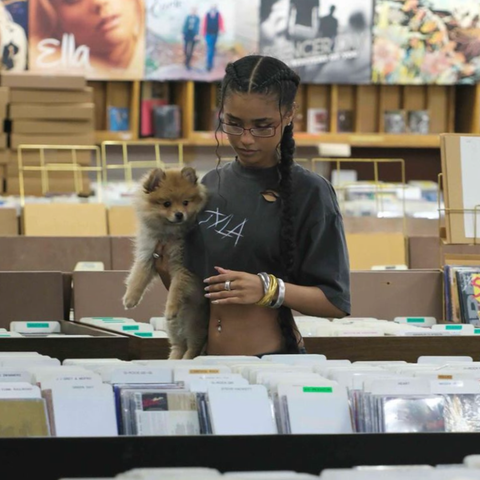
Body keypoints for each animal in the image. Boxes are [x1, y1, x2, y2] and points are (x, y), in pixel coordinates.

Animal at [124, 167, 208, 358]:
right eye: (167, 204)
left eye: (185, 202)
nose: (179, 214)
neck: (169, 234)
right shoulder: (148, 255)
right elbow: (138, 277)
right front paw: (130, 299)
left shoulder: (183, 267)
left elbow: (176, 289)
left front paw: (171, 308)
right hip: (174, 328)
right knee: (178, 346)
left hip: (195, 326)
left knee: (192, 348)